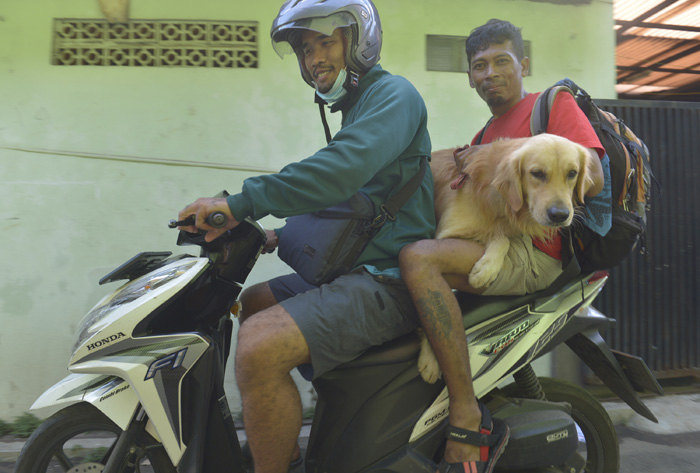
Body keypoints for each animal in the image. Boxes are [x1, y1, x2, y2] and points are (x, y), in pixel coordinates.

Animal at [416, 133, 596, 384]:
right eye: (537, 173)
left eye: (572, 173)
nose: (560, 215)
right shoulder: (446, 235)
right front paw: (431, 359)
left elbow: (503, 237)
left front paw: (487, 268)